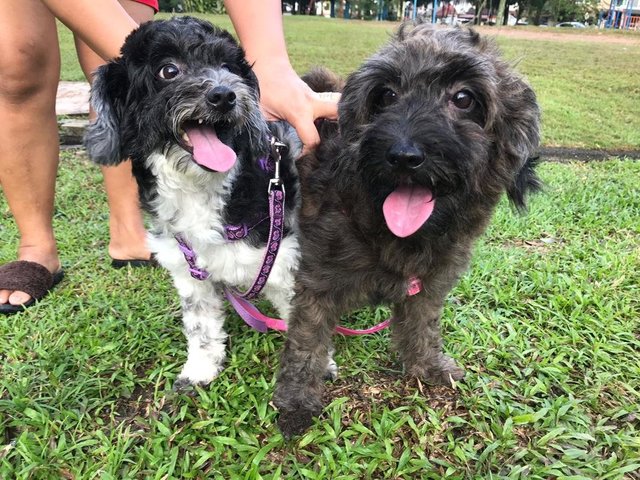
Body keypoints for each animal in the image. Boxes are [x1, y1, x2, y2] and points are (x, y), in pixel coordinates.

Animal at [84, 16, 302, 388]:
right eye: (168, 70)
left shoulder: (280, 260)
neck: (200, 189)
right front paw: (200, 368)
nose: (224, 94)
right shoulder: (188, 271)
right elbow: (200, 326)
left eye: (228, 67)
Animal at [274, 20, 540, 436]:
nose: (403, 155)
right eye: (385, 95)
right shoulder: (316, 285)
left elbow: (423, 326)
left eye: (463, 98)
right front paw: (297, 402)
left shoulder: (429, 285)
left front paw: (427, 367)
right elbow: (306, 344)